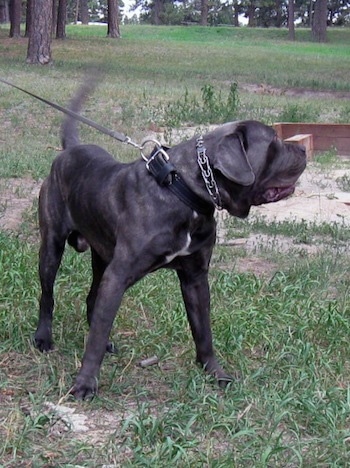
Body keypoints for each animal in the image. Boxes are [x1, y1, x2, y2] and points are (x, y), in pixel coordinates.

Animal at [33, 81, 306, 398]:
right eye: (274, 141)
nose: (302, 148)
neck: (183, 189)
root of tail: (71, 150)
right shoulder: (119, 275)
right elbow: (95, 340)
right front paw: (85, 383)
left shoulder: (195, 277)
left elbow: (203, 331)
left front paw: (214, 372)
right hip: (52, 246)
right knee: (47, 295)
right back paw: (43, 338)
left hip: (101, 256)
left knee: (92, 297)